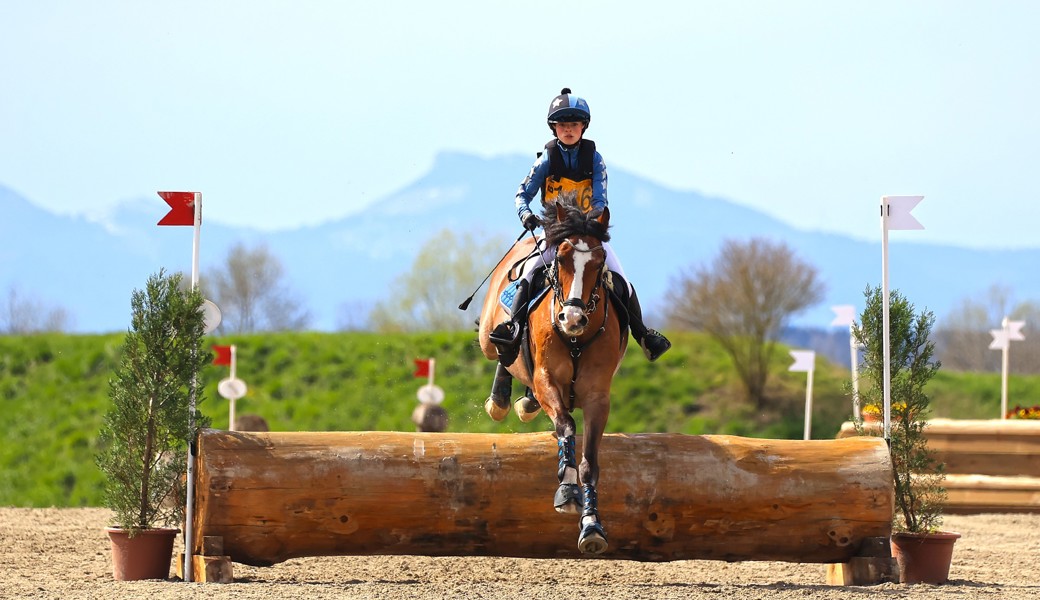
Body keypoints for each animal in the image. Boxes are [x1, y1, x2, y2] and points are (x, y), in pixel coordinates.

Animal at [476, 199, 624, 553]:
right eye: (561, 257)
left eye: (599, 262)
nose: (572, 318)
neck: (576, 339)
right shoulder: (546, 380)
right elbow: (566, 425)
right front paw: (567, 491)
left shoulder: (598, 397)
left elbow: (590, 463)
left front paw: (591, 526)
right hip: (487, 336)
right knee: (501, 349)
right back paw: (500, 400)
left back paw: (524, 404)